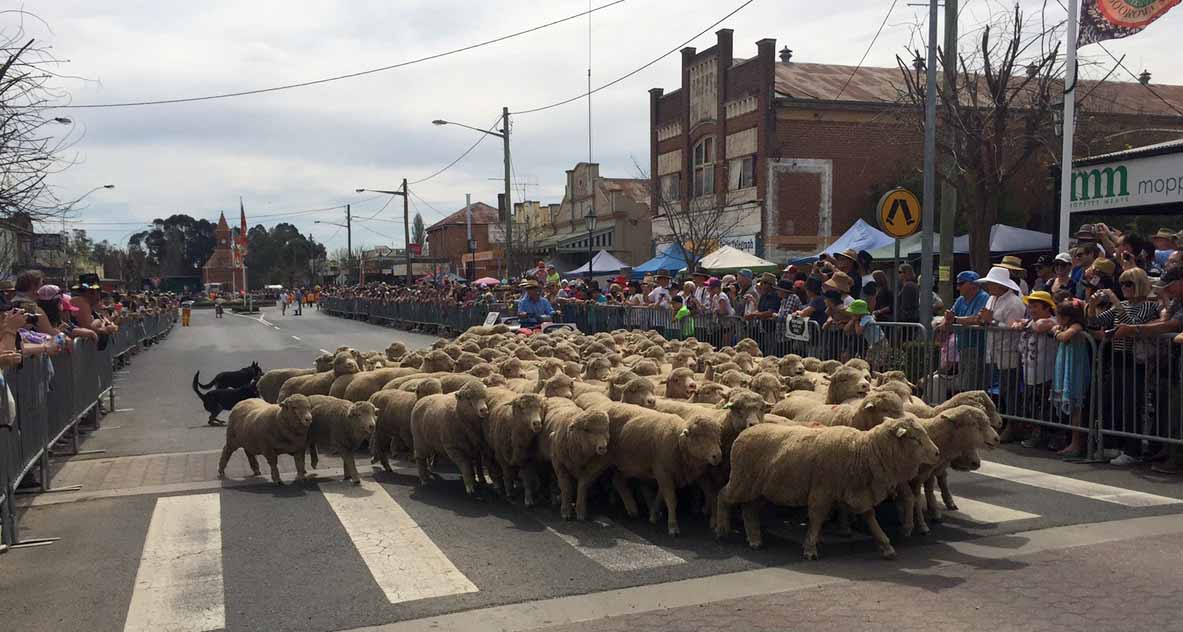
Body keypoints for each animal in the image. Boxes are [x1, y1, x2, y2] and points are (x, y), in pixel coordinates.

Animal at [716, 416, 940, 559]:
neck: (863, 451)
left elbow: (870, 518)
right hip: (742, 480)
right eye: (914, 438)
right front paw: (810, 549)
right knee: (723, 496)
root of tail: (746, 431)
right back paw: (722, 529)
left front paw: (886, 546)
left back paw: (754, 539)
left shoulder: (859, 493)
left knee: (749, 509)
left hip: (759, 487)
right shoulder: (821, 492)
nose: (937, 453)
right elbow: (816, 519)